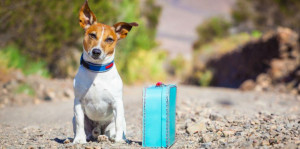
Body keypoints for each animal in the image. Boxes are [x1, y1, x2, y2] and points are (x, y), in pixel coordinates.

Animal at [72, 0, 138, 144]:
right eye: (92, 35)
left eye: (109, 39)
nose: (96, 51)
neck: (97, 70)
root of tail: (98, 128)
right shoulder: (78, 102)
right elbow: (80, 123)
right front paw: (79, 140)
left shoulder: (117, 103)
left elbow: (118, 124)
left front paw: (119, 140)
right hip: (78, 119)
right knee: (87, 130)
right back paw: (86, 137)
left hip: (114, 122)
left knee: (111, 130)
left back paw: (107, 137)